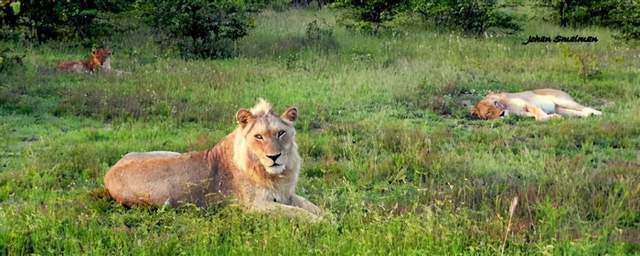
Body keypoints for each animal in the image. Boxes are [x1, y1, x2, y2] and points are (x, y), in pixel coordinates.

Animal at [106, 99, 324, 221]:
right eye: (259, 137)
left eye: (281, 133)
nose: (274, 157)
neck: (275, 175)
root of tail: (108, 173)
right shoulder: (255, 206)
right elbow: (299, 213)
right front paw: (324, 224)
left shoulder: (286, 194)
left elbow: (312, 207)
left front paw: (329, 217)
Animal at [470, 88, 600, 121]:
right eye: (488, 112)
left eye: (495, 103)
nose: (502, 113)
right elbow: (535, 117)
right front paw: (553, 117)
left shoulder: (529, 104)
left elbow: (539, 114)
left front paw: (552, 118)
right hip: (563, 109)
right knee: (579, 113)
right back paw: (589, 115)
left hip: (564, 102)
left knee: (585, 107)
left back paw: (597, 113)